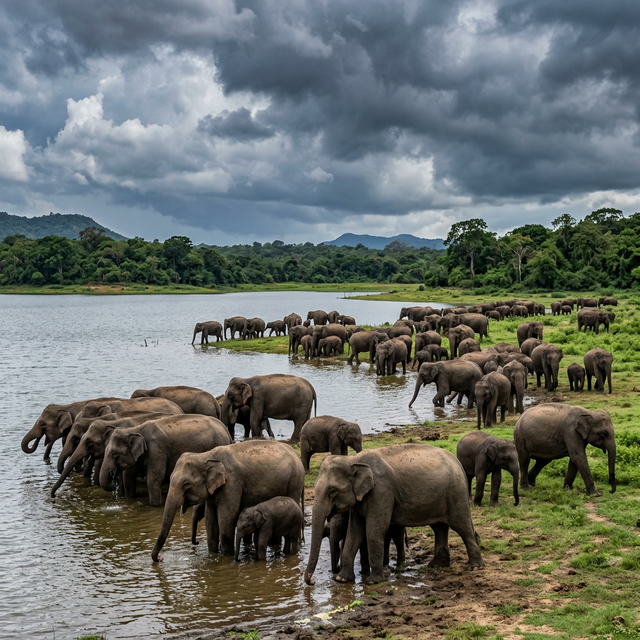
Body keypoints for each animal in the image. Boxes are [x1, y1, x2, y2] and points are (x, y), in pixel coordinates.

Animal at [100, 414, 232, 506]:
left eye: (114, 453)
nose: (113, 485)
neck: (136, 429)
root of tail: (225, 429)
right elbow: (129, 476)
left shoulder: (157, 450)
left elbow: (154, 479)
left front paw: (155, 505)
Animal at [151, 440, 304, 560]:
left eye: (186, 484)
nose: (160, 558)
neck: (206, 456)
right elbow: (210, 520)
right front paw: (213, 554)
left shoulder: (232, 483)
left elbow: (226, 517)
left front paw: (226, 556)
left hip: (295, 482)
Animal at [303, 444, 484, 585]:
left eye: (332, 491)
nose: (312, 581)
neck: (353, 460)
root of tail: (457, 462)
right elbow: (354, 532)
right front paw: (342, 579)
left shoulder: (381, 492)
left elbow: (375, 530)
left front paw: (373, 581)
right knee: (439, 527)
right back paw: (437, 565)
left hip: (455, 492)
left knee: (462, 526)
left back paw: (476, 566)